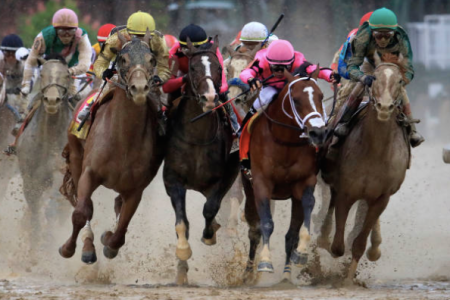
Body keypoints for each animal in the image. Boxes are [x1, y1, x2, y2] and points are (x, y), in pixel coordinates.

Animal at [59, 31, 164, 264]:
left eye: (152, 60)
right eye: (123, 59)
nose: (139, 89)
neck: (123, 139)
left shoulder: (136, 189)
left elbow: (121, 229)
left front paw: (109, 241)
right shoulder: (89, 173)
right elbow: (81, 212)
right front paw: (69, 248)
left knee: (117, 205)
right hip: (77, 157)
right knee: (85, 206)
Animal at [163, 36, 241, 284]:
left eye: (219, 69)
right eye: (194, 68)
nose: (210, 97)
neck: (198, 136)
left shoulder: (223, 178)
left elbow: (210, 209)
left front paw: (209, 235)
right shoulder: (173, 180)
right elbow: (182, 222)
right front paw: (182, 253)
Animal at [243, 66, 326, 284]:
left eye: (321, 96)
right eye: (296, 99)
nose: (318, 133)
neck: (285, 143)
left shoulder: (305, 182)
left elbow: (304, 216)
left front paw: (302, 252)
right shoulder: (261, 183)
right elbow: (266, 224)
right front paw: (265, 261)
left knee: (290, 234)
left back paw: (287, 274)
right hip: (248, 189)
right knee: (253, 230)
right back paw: (248, 273)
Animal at [318, 53, 410, 284]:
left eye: (400, 81)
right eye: (374, 79)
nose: (384, 107)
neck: (375, 152)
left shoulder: (381, 197)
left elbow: (358, 242)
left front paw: (349, 279)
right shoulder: (346, 191)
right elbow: (338, 245)